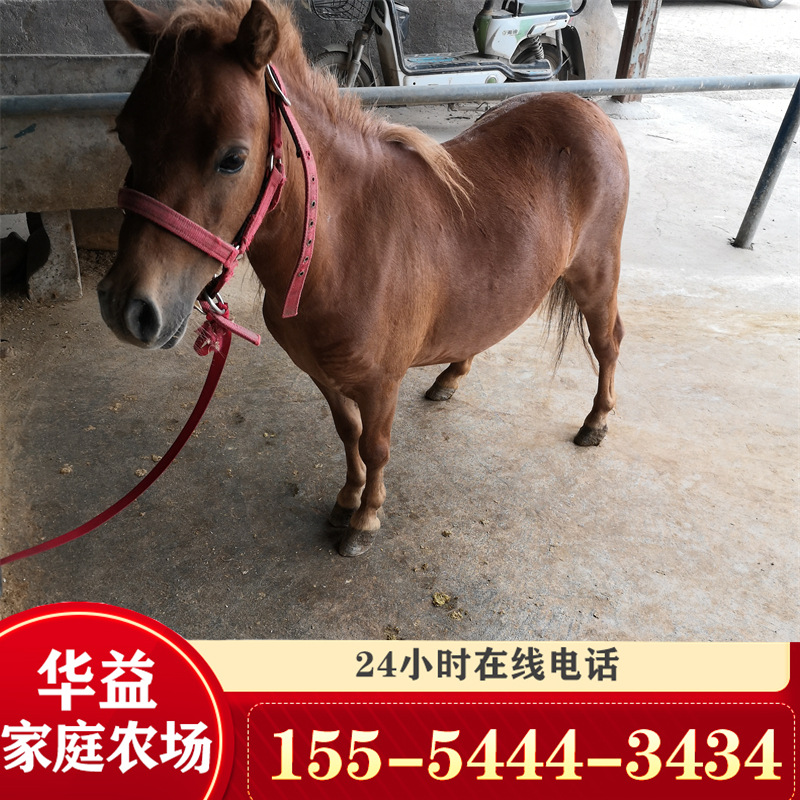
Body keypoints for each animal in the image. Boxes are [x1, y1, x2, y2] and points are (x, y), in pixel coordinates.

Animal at [99, 0, 628, 556]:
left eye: (233, 158)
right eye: (126, 135)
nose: (126, 308)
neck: (346, 247)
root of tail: (586, 110)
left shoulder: (380, 384)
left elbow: (375, 447)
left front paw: (365, 520)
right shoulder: (324, 374)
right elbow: (347, 433)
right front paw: (346, 501)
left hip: (596, 274)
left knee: (608, 342)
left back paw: (595, 423)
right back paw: (450, 378)